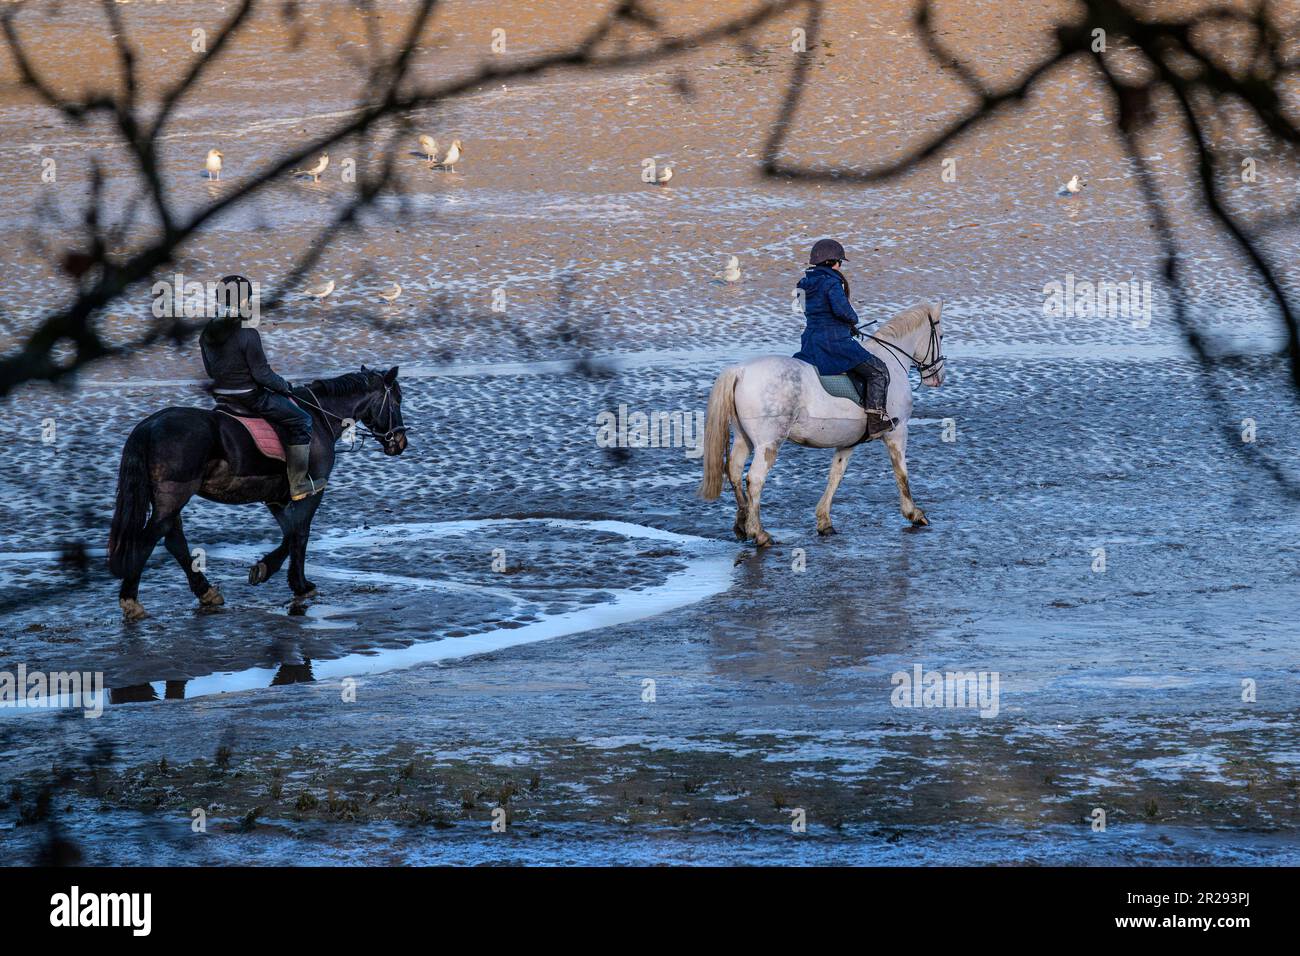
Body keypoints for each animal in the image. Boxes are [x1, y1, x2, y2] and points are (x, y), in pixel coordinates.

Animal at [107, 366, 409, 620]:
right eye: (397, 401)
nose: (400, 442)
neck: (319, 418)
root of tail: (148, 426)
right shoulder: (312, 489)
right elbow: (300, 532)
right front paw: (295, 582)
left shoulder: (275, 496)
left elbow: (290, 532)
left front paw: (270, 571)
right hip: (173, 495)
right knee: (150, 538)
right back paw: (131, 601)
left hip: (169, 499)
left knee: (173, 540)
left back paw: (206, 592)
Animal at [697, 301, 945, 546]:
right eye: (941, 336)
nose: (938, 378)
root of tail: (740, 370)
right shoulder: (897, 431)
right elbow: (901, 473)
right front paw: (914, 514)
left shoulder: (847, 442)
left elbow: (836, 475)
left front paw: (824, 521)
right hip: (768, 443)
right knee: (755, 479)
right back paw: (759, 532)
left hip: (744, 438)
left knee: (734, 471)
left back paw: (742, 524)